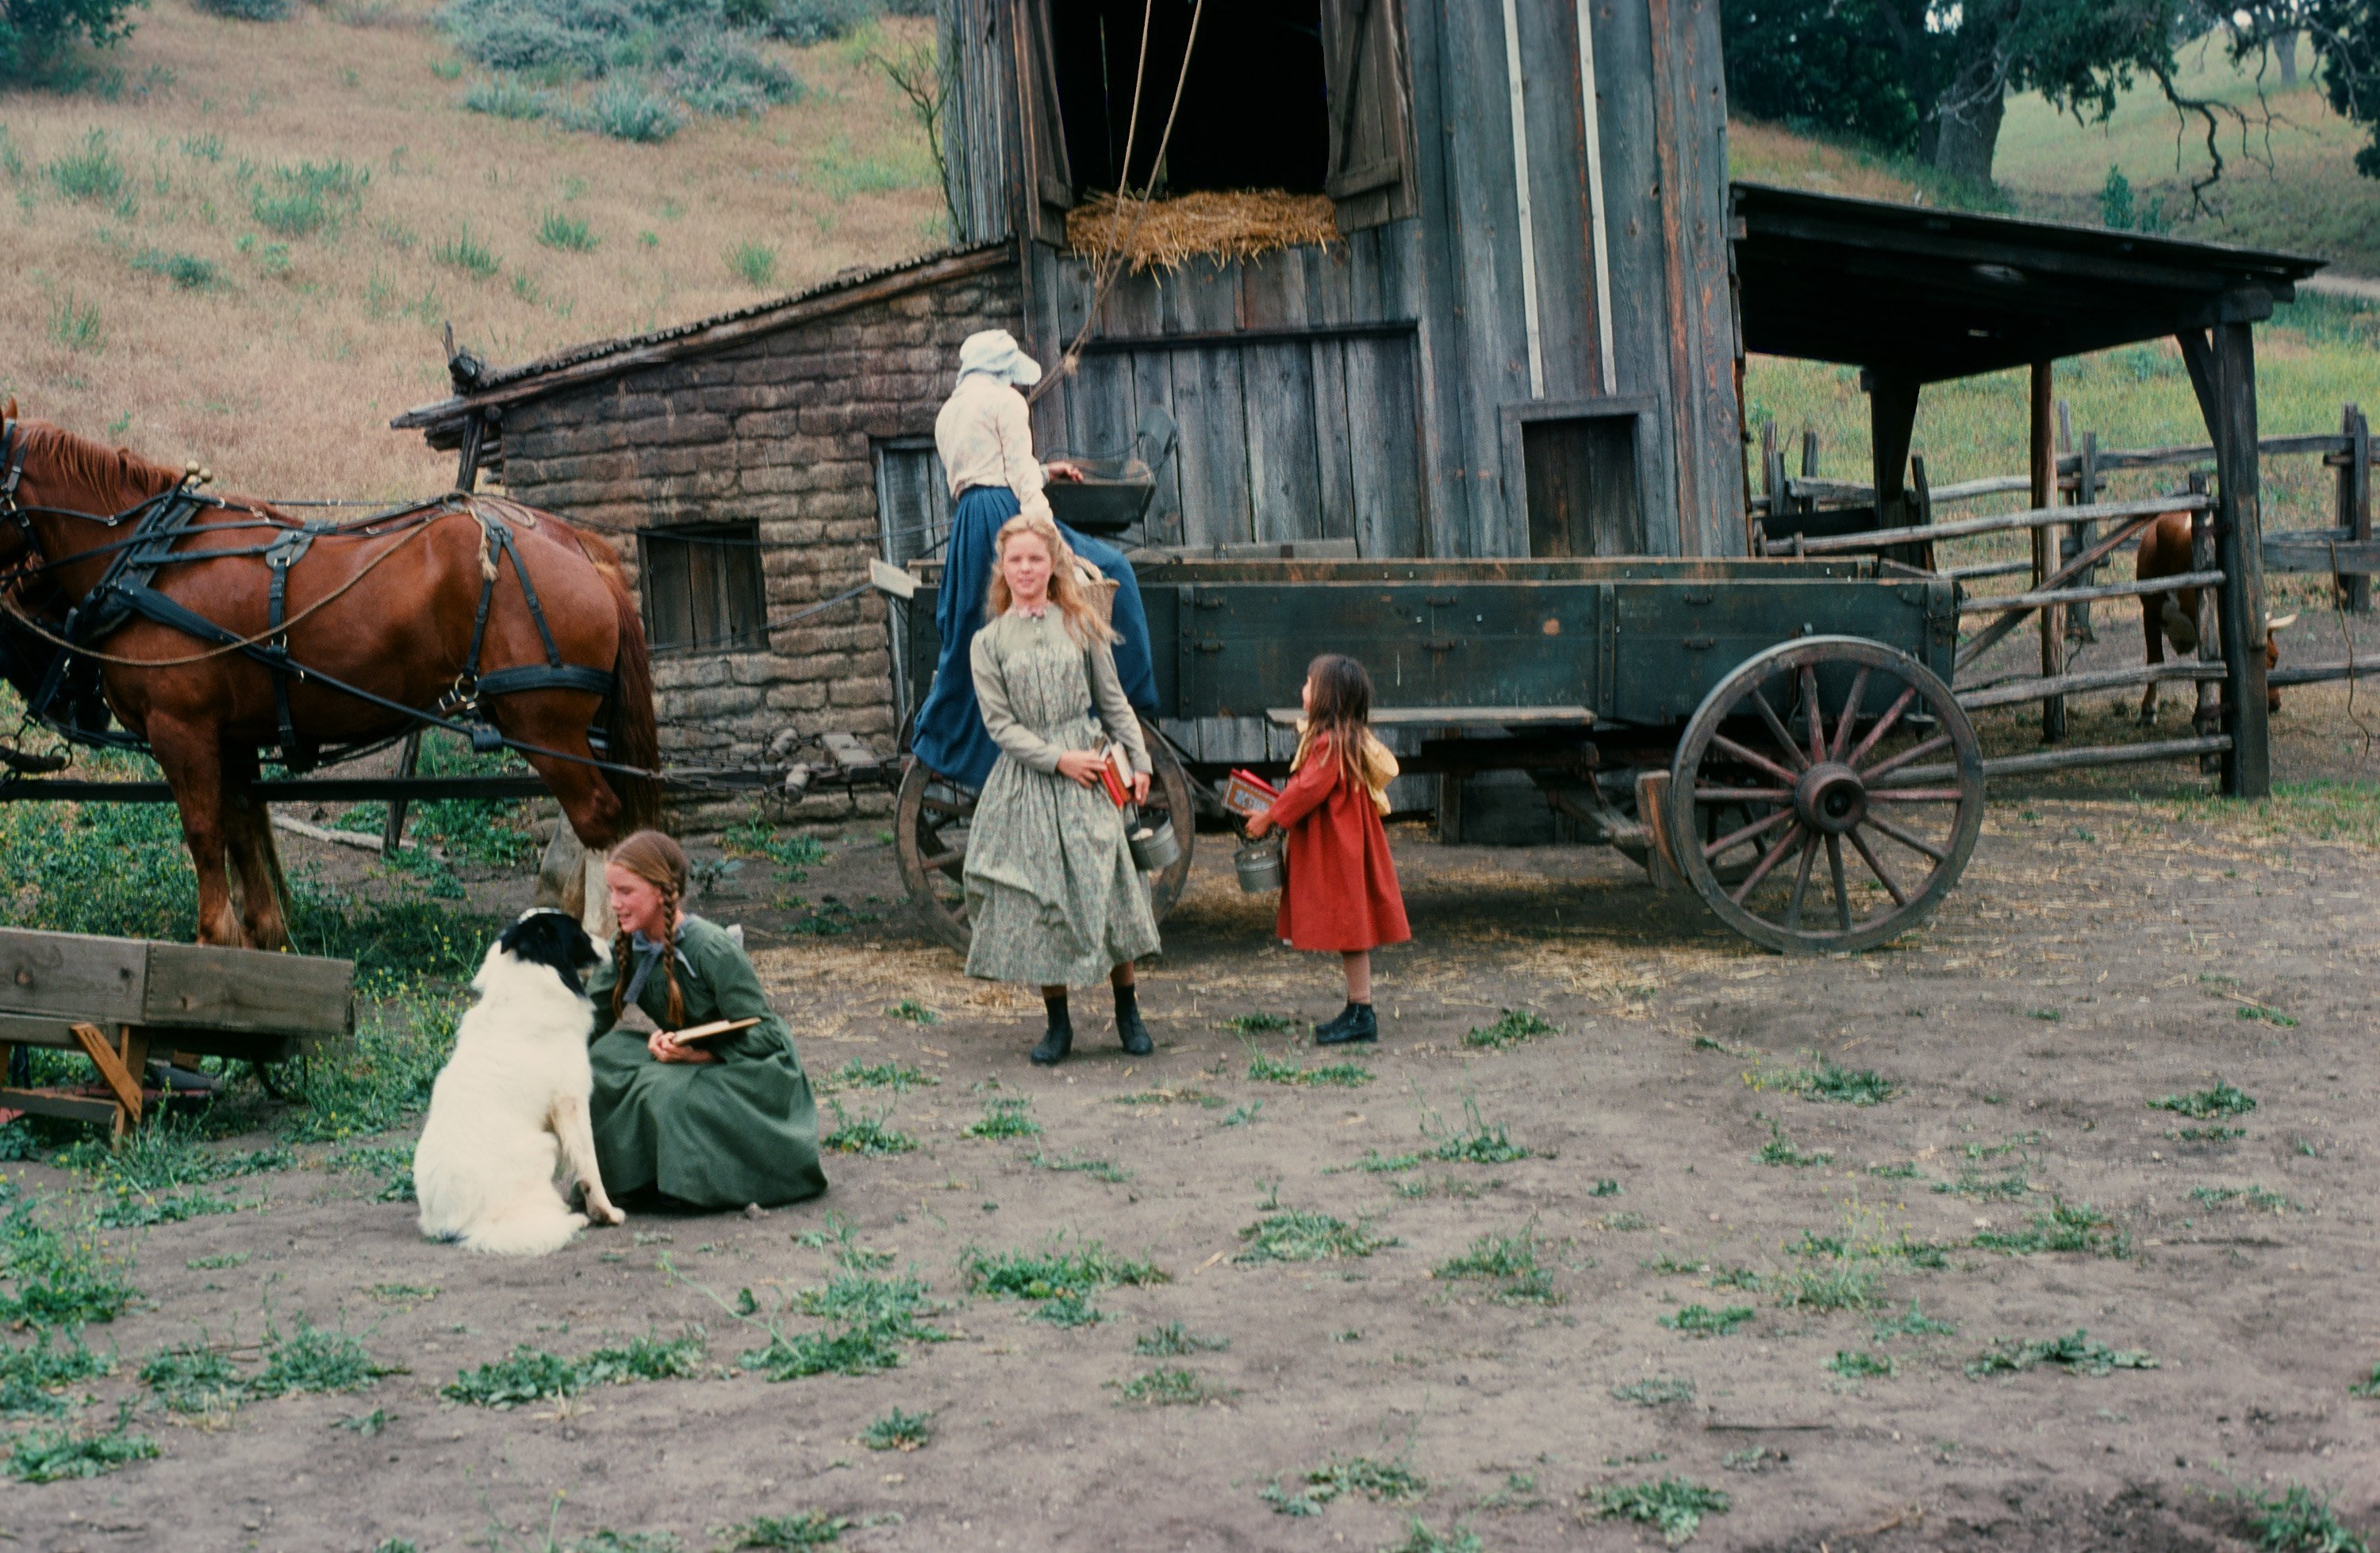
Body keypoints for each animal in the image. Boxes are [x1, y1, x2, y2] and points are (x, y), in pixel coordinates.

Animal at [0, 409, 662, 948]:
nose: (69, 703)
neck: (153, 563)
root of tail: (575, 543)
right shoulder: (231, 736)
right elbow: (244, 826)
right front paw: (263, 935)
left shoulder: (182, 730)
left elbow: (205, 830)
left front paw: (214, 937)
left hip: (543, 722)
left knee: (598, 815)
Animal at [414, 905, 628, 1257]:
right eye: (578, 932)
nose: (613, 946)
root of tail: (456, 1226)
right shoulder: (571, 1101)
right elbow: (588, 1162)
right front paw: (605, 1212)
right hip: (544, 1146)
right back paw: (571, 1219)